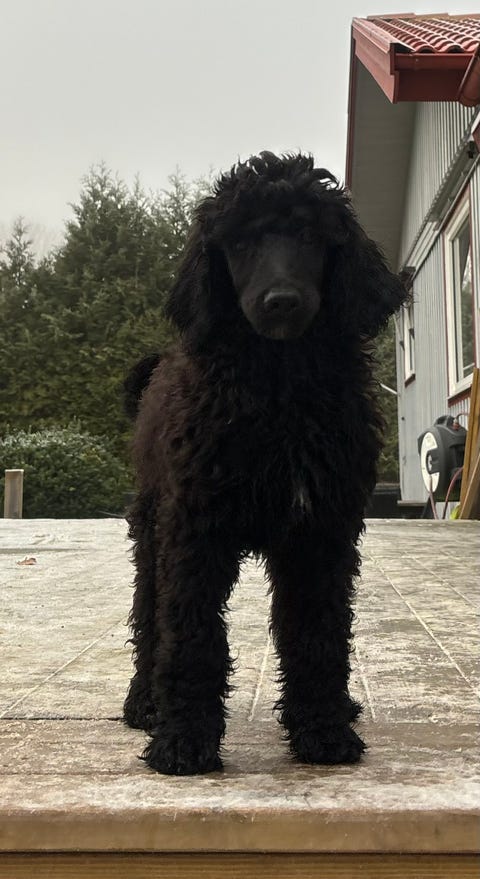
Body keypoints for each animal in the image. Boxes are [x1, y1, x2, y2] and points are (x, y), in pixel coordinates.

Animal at [123, 151, 407, 775]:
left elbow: (317, 634)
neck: (279, 391)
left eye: (309, 235)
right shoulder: (193, 527)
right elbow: (192, 635)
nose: (281, 302)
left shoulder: (322, 531)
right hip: (151, 527)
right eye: (239, 243)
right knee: (149, 617)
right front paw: (183, 740)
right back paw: (144, 703)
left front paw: (323, 730)